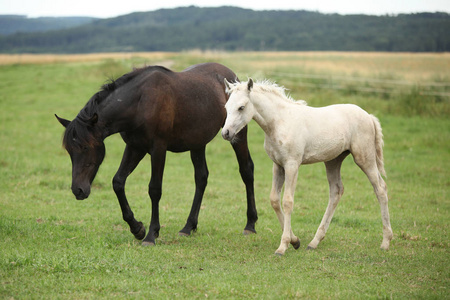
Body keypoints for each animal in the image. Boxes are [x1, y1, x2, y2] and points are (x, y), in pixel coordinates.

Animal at [57, 62, 256, 245]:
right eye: (69, 151)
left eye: (85, 147)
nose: (78, 190)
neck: (139, 103)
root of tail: (233, 77)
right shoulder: (135, 147)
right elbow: (118, 182)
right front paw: (137, 228)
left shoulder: (158, 149)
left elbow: (154, 189)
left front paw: (151, 234)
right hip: (198, 143)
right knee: (201, 178)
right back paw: (188, 227)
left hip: (237, 134)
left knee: (246, 170)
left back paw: (250, 224)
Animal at [223, 79, 392, 255]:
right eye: (226, 107)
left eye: (241, 107)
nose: (226, 133)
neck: (280, 121)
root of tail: (369, 116)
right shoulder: (278, 165)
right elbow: (274, 200)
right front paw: (295, 241)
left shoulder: (292, 164)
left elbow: (287, 201)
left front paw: (283, 246)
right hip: (333, 161)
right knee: (336, 191)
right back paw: (314, 241)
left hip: (364, 158)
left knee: (380, 188)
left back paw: (385, 242)